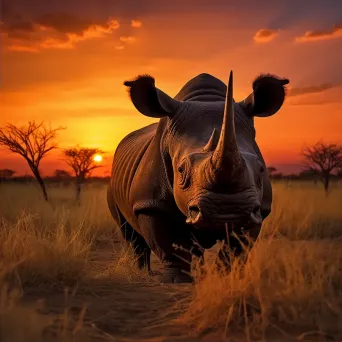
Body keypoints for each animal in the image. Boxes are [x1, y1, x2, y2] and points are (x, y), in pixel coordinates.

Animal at [107, 70, 288, 284]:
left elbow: (235, 249)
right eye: (180, 170)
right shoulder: (151, 203)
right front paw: (177, 280)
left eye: (260, 169)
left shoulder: (258, 209)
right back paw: (144, 274)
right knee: (132, 236)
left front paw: (224, 278)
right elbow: (170, 246)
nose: (229, 211)